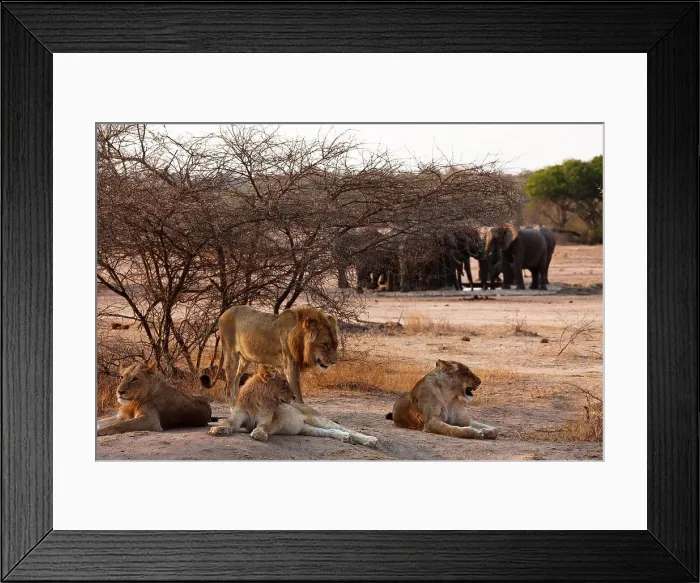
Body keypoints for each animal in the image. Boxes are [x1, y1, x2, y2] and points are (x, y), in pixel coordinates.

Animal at [200, 305, 339, 407]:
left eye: (335, 344)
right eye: (325, 344)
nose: (334, 362)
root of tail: (224, 313)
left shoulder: (282, 367)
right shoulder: (290, 365)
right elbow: (297, 393)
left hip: (245, 360)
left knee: (235, 382)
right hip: (231, 355)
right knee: (228, 388)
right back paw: (233, 408)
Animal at [208, 364, 378, 447]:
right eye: (284, 382)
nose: (294, 396)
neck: (259, 399)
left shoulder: (265, 419)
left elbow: (262, 428)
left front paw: (258, 434)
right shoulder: (237, 417)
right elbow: (228, 424)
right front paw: (217, 429)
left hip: (317, 419)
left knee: (348, 429)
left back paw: (370, 440)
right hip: (307, 429)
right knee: (332, 431)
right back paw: (345, 438)